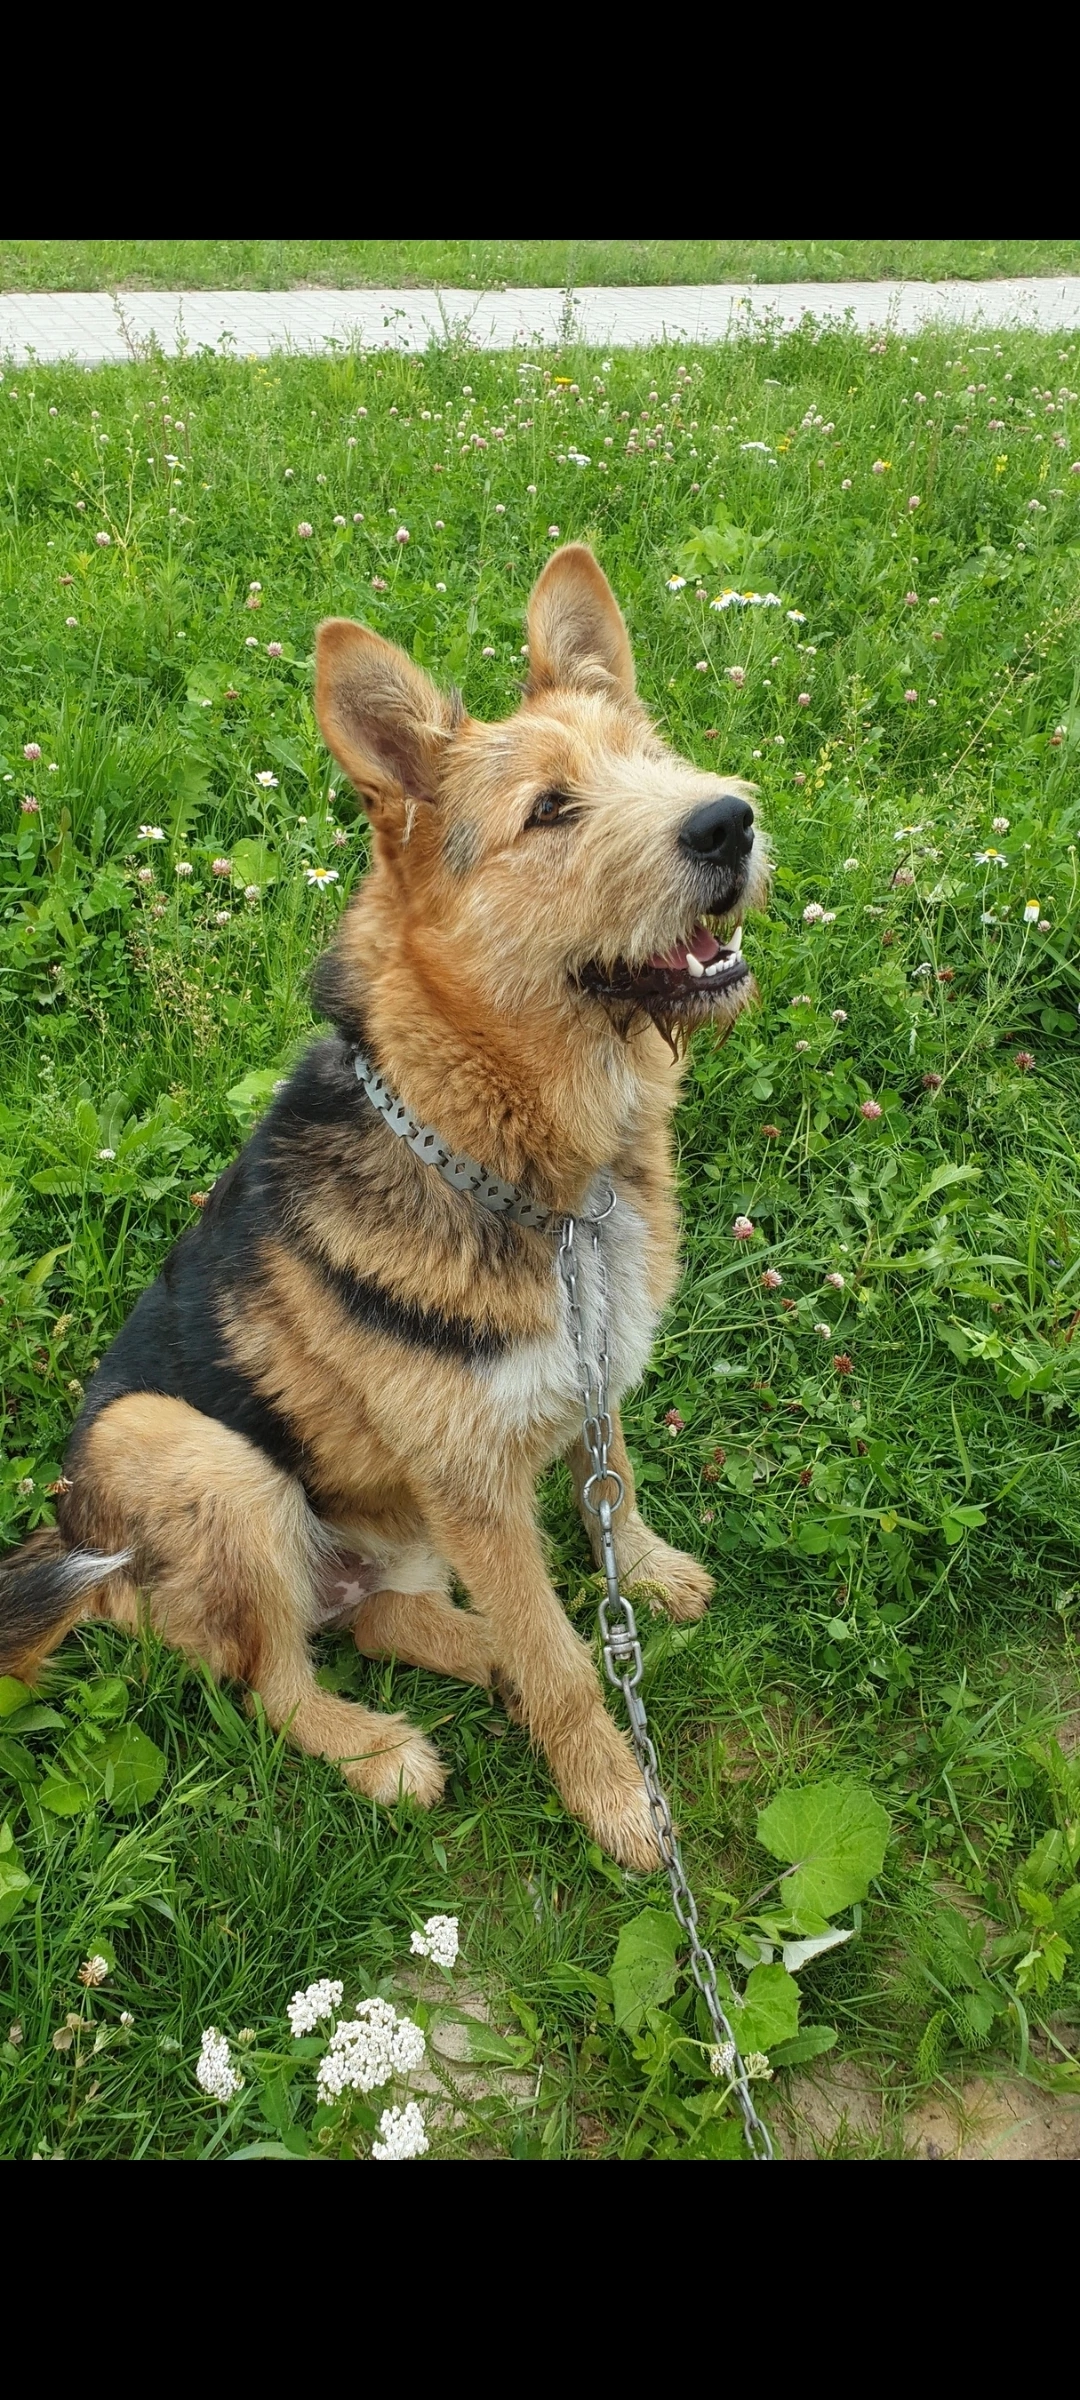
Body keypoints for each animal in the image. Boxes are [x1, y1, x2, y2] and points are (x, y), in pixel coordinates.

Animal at [0, 549, 768, 1872]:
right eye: (550, 811)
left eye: (657, 758)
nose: (731, 821)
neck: (525, 1167)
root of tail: (87, 1564)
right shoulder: (473, 1485)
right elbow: (569, 1665)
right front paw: (618, 1799)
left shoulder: (587, 1378)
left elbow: (608, 1497)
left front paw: (649, 1573)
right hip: (191, 1452)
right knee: (275, 1684)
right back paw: (378, 1750)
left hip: (390, 1536)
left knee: (387, 1623)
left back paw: (473, 1660)